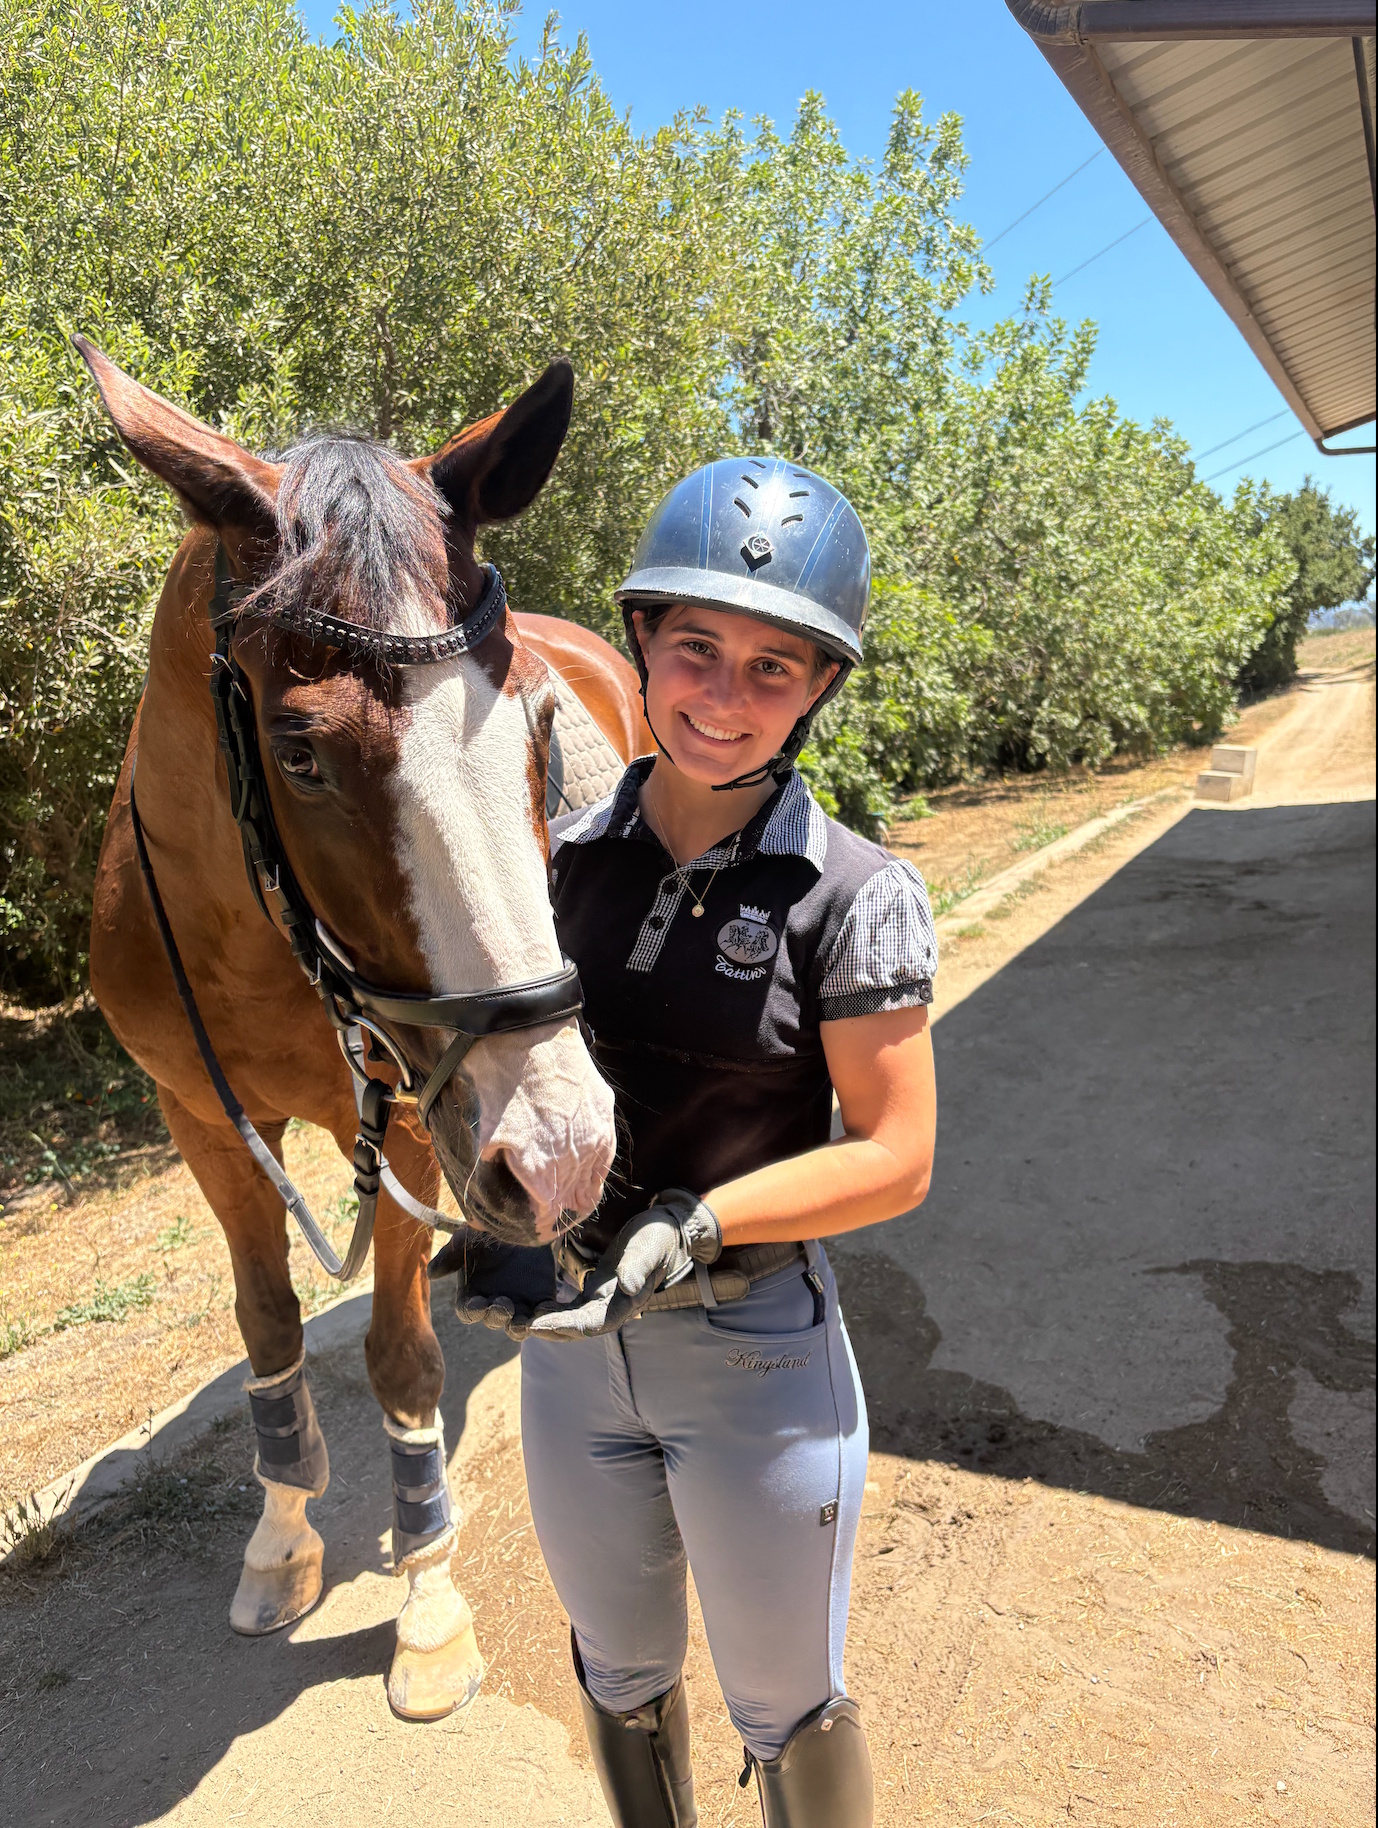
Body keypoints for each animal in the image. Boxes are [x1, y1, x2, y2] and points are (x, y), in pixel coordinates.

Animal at [74, 339, 645, 1720]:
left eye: (533, 728)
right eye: (300, 753)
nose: (564, 1152)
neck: (251, 937)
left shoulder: (424, 1116)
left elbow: (399, 1362)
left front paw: (428, 1605)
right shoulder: (202, 1117)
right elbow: (268, 1325)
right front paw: (281, 1536)